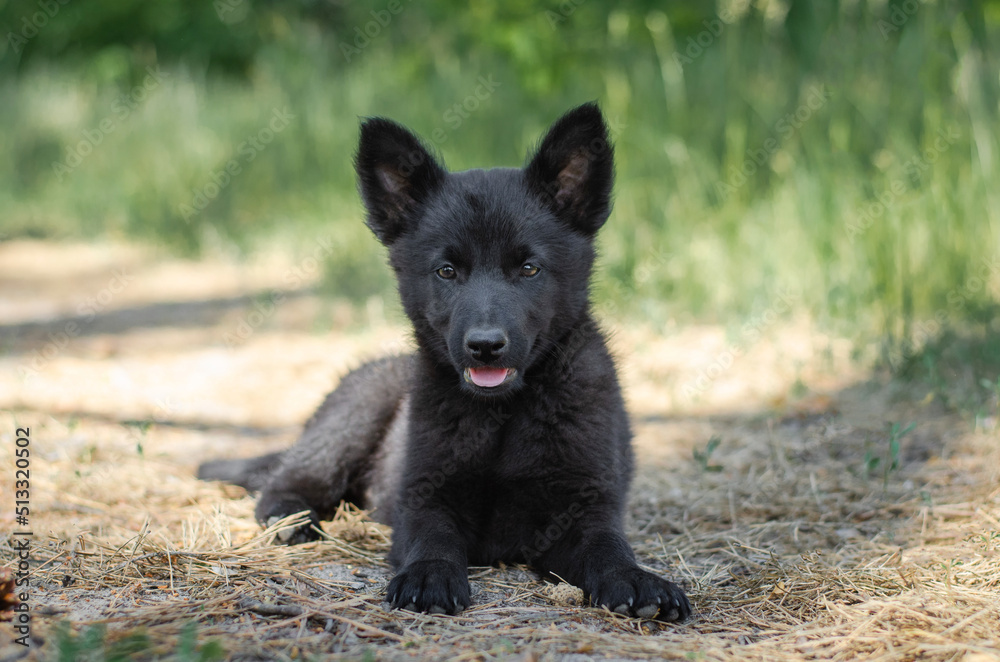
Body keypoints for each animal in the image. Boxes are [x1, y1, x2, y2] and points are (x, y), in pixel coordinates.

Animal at [199, 102, 692, 624]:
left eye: (529, 268)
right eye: (447, 270)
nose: (485, 345)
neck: (503, 417)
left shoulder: (582, 506)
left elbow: (608, 546)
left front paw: (634, 579)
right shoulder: (424, 497)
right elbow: (432, 539)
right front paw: (429, 576)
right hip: (350, 421)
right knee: (287, 481)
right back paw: (292, 520)